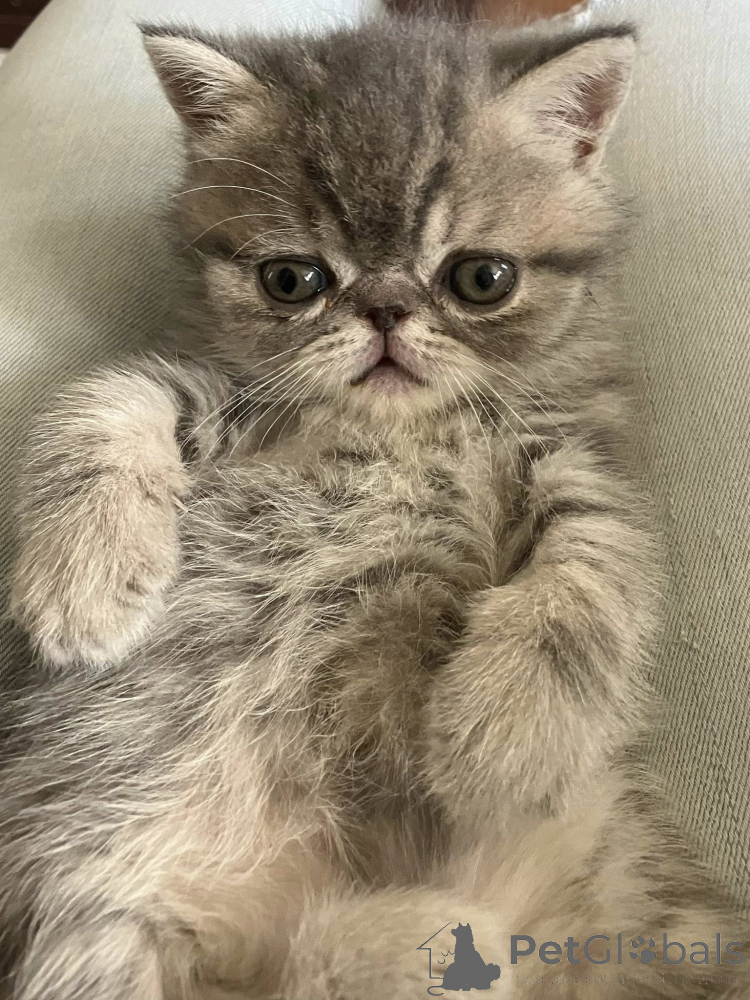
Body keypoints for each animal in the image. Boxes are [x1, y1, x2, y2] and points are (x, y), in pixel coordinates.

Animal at [3, 12, 748, 1000]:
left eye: (481, 279)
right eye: (293, 280)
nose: (388, 311)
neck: (398, 433)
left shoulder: (586, 461)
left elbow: (592, 565)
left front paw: (505, 741)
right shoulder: (220, 392)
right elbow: (107, 397)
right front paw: (81, 585)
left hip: (644, 895)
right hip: (94, 928)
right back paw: (414, 937)